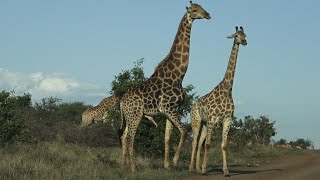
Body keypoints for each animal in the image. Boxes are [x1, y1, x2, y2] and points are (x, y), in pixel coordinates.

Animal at [119, 1, 211, 173]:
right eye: (194, 10)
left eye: (202, 6)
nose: (208, 14)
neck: (179, 74)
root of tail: (121, 102)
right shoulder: (168, 108)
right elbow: (183, 131)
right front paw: (175, 161)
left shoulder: (172, 110)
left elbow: (167, 138)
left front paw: (167, 165)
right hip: (135, 116)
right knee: (130, 138)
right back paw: (133, 168)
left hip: (130, 117)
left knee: (123, 136)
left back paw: (124, 165)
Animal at [189, 26, 249, 176]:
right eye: (236, 35)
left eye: (245, 35)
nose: (244, 42)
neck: (227, 89)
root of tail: (193, 106)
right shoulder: (212, 119)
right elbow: (208, 144)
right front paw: (205, 169)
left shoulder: (227, 119)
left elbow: (224, 145)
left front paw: (226, 171)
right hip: (197, 121)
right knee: (194, 142)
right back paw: (192, 168)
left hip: (204, 124)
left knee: (199, 143)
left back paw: (197, 168)